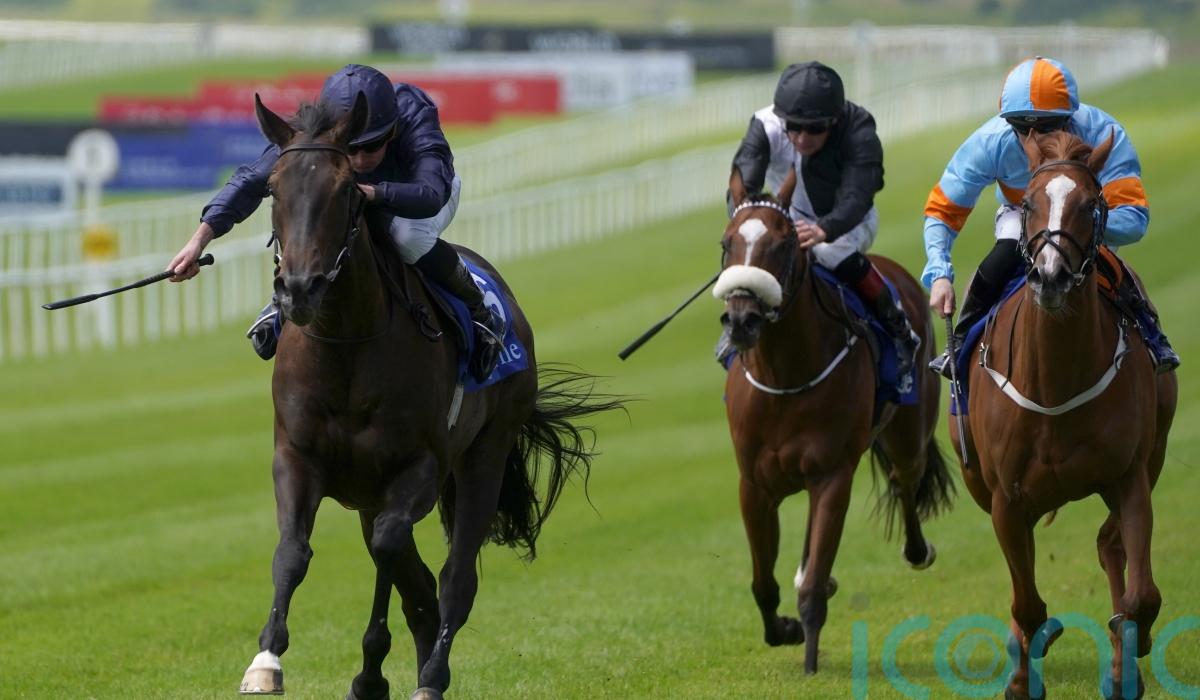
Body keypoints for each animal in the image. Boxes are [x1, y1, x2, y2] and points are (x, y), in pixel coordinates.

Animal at [236, 93, 622, 700]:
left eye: (347, 190)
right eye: (274, 188)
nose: (299, 290)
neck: (348, 346)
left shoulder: (418, 464)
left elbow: (393, 550)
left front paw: (370, 672)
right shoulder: (298, 458)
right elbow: (293, 553)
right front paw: (266, 660)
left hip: (483, 455)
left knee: (453, 579)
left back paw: (431, 676)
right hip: (369, 491)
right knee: (414, 581)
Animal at [718, 170, 954, 674]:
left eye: (784, 243)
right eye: (727, 243)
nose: (742, 319)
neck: (786, 377)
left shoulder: (832, 475)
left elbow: (809, 588)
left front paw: (809, 659)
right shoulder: (755, 485)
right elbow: (762, 583)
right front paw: (783, 629)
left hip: (909, 433)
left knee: (905, 481)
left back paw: (917, 550)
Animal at [952, 129, 1178, 700]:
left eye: (1091, 204)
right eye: (1030, 203)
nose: (1050, 276)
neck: (1054, 382)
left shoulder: (1129, 475)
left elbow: (1141, 595)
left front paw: (1131, 650)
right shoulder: (1006, 500)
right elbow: (1027, 603)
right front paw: (1021, 676)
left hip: (1155, 453)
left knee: (1109, 544)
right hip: (981, 485)